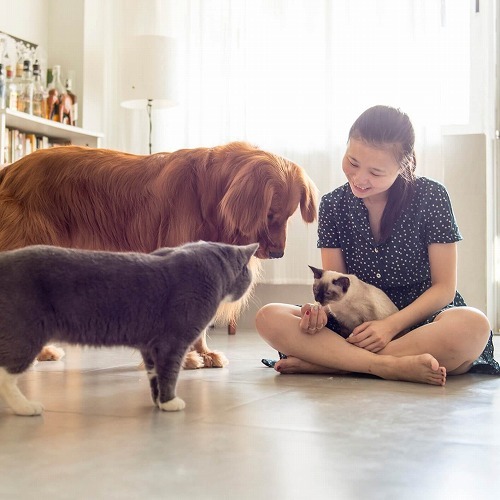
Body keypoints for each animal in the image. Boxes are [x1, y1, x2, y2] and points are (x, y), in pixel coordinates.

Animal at [0, 240, 258, 416]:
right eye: (247, 273)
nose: (249, 283)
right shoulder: (172, 343)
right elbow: (169, 372)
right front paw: (170, 403)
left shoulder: (150, 346)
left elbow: (154, 374)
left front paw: (158, 402)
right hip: (25, 335)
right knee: (6, 376)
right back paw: (25, 407)